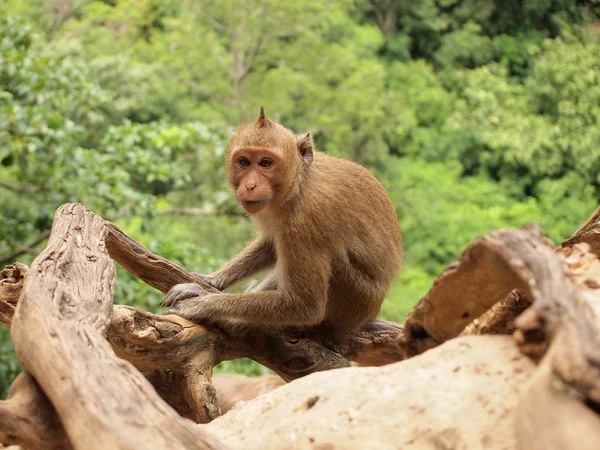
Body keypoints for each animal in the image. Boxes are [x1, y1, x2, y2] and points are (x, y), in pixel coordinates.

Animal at [162, 107, 400, 336]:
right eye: (244, 162)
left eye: (265, 163)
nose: (250, 185)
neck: (299, 184)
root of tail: (368, 315)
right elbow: (270, 244)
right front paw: (210, 280)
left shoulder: (306, 222)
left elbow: (304, 306)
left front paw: (202, 304)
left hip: (354, 298)